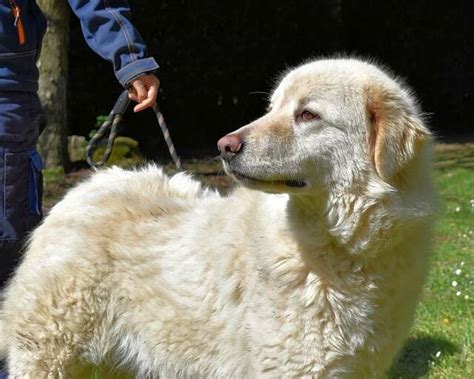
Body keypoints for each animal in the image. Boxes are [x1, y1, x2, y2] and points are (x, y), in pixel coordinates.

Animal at [0, 58, 436, 378]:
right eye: (272, 108)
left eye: (308, 115)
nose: (225, 145)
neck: (344, 247)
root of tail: (83, 189)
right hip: (50, 353)